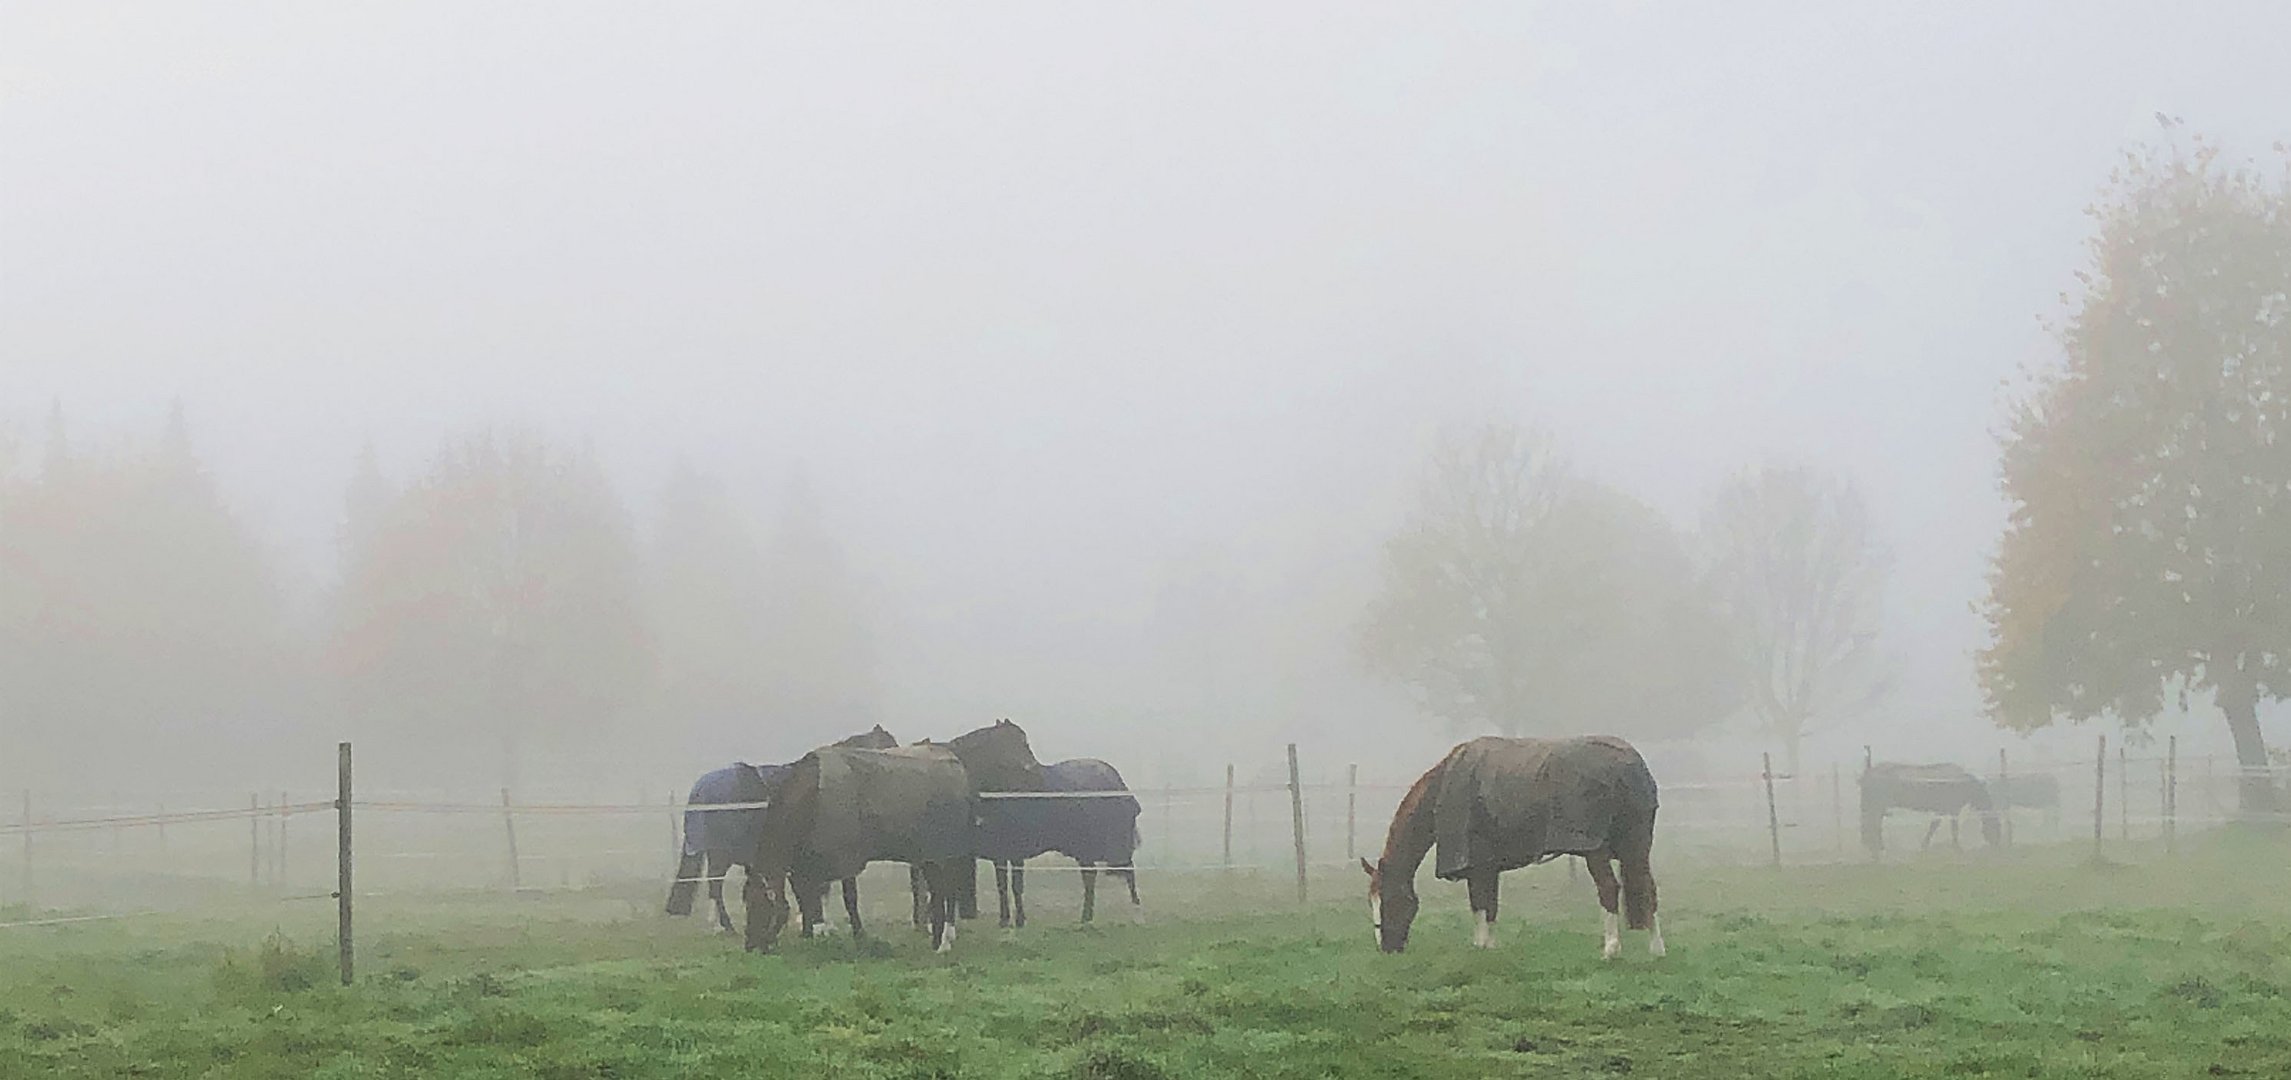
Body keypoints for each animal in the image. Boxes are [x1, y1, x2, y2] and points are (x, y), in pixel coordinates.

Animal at [664, 729, 893, 940]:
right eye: (888, 745)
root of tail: (700, 788)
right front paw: (819, 925)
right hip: (720, 854)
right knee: (715, 887)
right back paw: (724, 926)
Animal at [742, 742, 975, 953]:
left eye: (758, 904)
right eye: (746, 901)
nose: (750, 945)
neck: (813, 795)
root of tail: (956, 764)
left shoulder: (845, 859)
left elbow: (848, 900)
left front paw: (857, 935)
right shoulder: (806, 865)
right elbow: (808, 900)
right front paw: (815, 934)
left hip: (943, 854)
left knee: (947, 891)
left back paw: (943, 941)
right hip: (930, 856)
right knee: (940, 891)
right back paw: (940, 938)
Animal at [971, 761, 1140, 930]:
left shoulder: (1014, 853)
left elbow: (1015, 886)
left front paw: (1018, 920)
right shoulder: (1000, 855)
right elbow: (1003, 886)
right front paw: (1006, 920)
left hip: (1111, 846)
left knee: (1126, 870)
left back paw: (1135, 911)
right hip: (1087, 850)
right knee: (1092, 876)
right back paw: (1087, 917)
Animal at [1356, 738, 1667, 958]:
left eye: (1386, 899)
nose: (1386, 948)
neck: (1442, 788)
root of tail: (1626, 765)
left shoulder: (1476, 862)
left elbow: (1479, 903)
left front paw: (1480, 945)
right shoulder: (1489, 864)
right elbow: (1491, 905)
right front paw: (1490, 945)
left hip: (1596, 850)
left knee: (1609, 889)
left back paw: (1611, 949)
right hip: (1638, 844)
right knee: (1647, 888)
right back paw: (1657, 949)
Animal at [1860, 765, 2006, 857]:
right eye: (1996, 827)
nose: (1997, 847)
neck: (1963, 783)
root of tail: (1867, 773)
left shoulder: (1942, 811)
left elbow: (1934, 826)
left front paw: (1924, 846)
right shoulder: (1952, 811)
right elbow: (1952, 830)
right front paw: (1957, 849)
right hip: (1877, 806)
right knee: (1873, 825)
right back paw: (1877, 848)